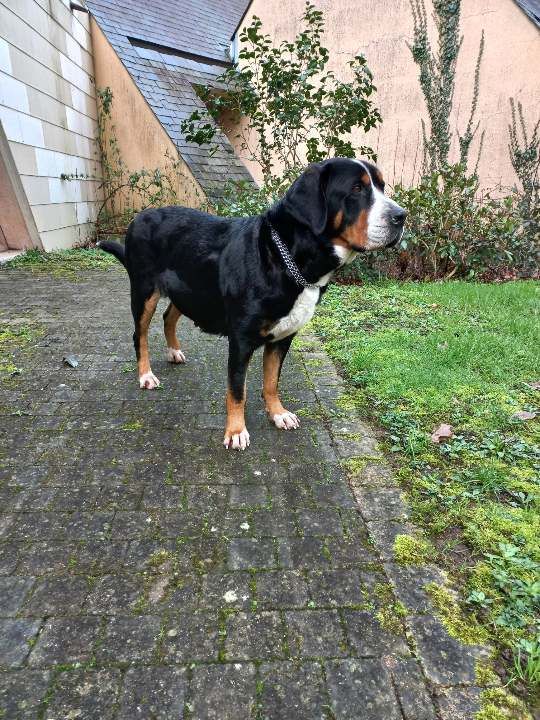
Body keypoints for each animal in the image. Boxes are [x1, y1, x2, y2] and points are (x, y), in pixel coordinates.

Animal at [99, 157, 407, 450]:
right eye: (356, 189)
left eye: (382, 187)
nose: (401, 217)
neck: (286, 259)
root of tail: (140, 216)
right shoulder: (241, 340)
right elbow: (237, 390)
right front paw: (236, 431)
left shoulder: (283, 337)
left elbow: (271, 381)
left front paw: (278, 413)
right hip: (144, 292)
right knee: (140, 334)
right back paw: (146, 375)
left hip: (188, 290)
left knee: (169, 317)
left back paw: (174, 351)